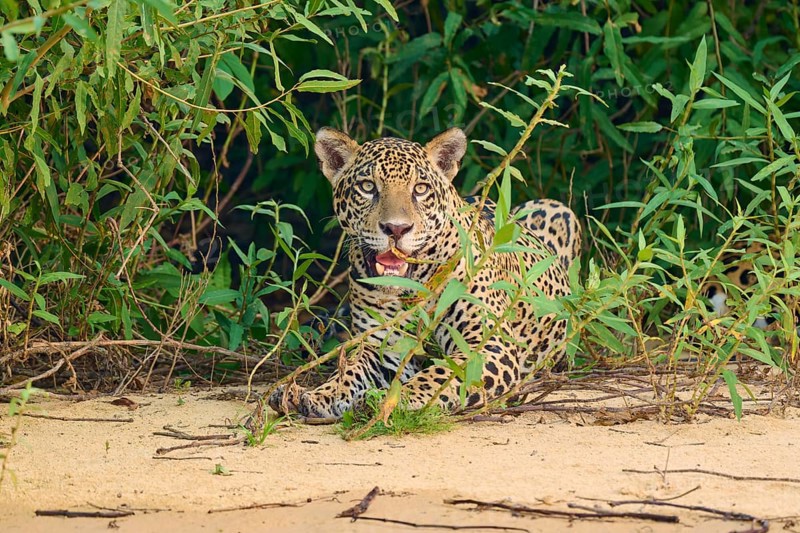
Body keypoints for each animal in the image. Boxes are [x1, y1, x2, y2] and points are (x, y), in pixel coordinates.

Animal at [268, 127, 581, 419]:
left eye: (419, 189)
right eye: (368, 187)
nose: (396, 229)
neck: (411, 285)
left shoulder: (487, 344)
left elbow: (439, 375)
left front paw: (398, 400)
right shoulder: (382, 345)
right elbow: (350, 372)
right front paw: (319, 394)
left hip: (556, 208)